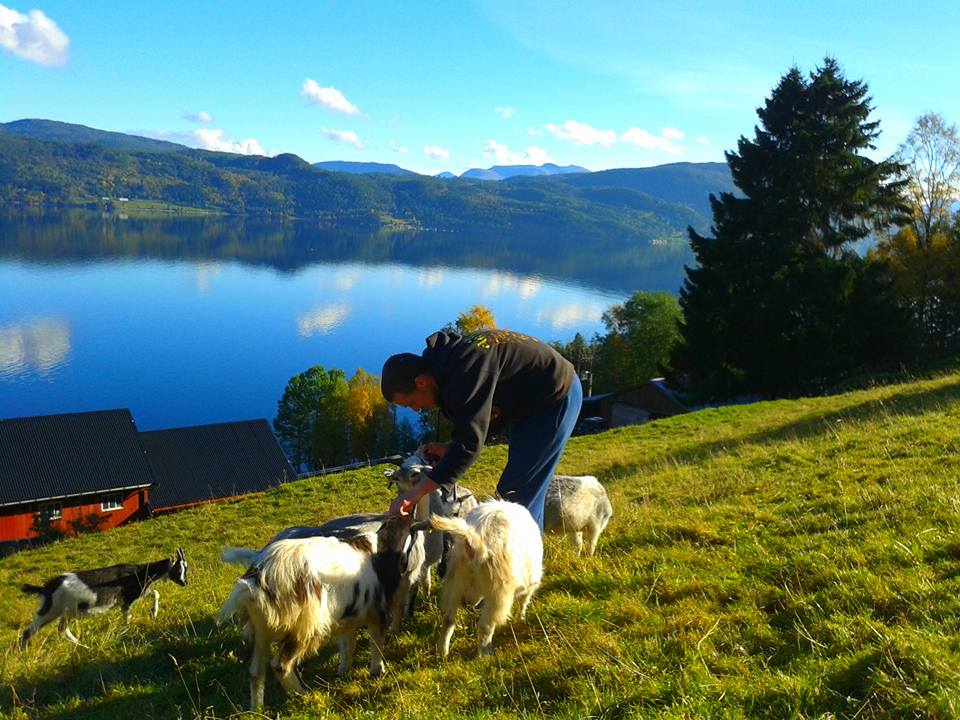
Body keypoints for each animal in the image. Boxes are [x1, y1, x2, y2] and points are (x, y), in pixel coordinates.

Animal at [19, 548, 188, 648]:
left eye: (186, 568)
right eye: (179, 568)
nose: (185, 582)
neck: (139, 572)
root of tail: (45, 589)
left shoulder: (140, 592)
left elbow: (156, 593)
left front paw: (153, 612)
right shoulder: (127, 599)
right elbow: (127, 616)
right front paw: (126, 632)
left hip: (66, 612)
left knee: (62, 629)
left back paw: (82, 645)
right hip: (50, 611)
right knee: (28, 632)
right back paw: (23, 652)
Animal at [221, 512, 424, 708]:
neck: (381, 550)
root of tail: (258, 579)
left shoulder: (347, 615)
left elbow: (348, 645)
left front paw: (343, 672)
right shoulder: (377, 610)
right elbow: (376, 642)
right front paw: (377, 671)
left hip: (260, 629)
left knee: (256, 672)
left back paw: (257, 710)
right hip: (302, 626)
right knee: (280, 664)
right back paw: (303, 695)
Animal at [428, 500, 540, 660]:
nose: (468, 602)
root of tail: (473, 541)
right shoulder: (530, 583)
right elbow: (524, 601)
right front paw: (521, 618)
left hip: (455, 582)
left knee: (448, 619)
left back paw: (442, 653)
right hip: (497, 592)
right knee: (485, 625)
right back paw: (484, 655)